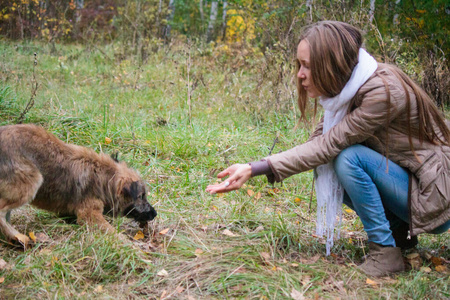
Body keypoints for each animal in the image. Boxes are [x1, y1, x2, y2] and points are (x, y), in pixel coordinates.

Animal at [0, 123, 156, 246]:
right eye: (141, 196)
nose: (154, 214)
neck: (104, 177)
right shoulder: (89, 215)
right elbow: (113, 233)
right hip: (32, 181)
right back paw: (18, 238)